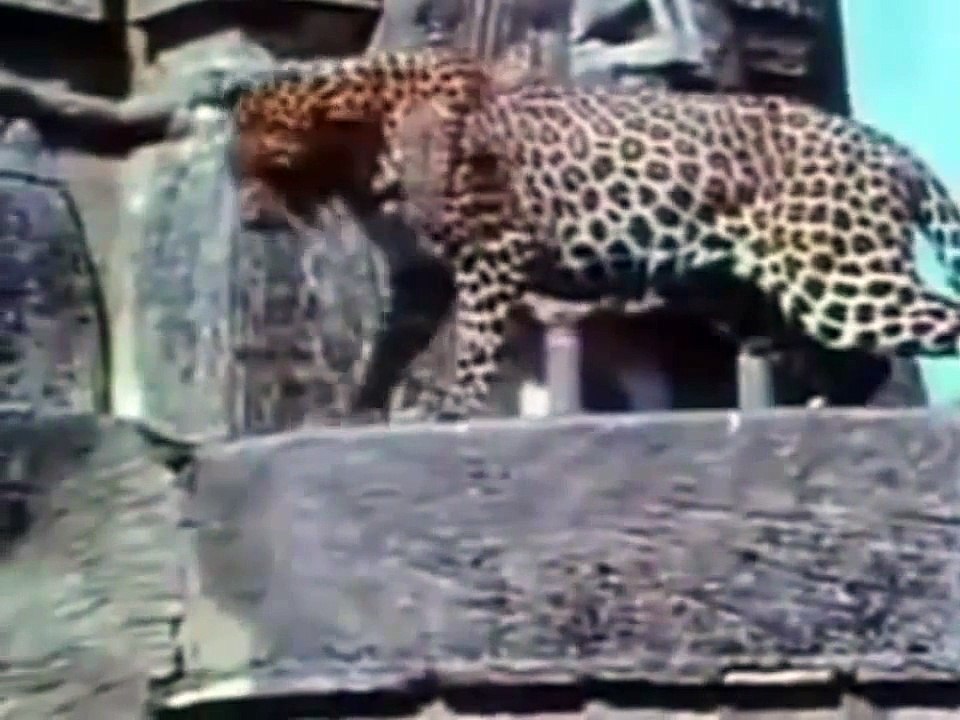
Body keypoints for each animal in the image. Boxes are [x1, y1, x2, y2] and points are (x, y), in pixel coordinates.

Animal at [230, 47, 960, 421]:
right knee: (857, 361)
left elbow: (476, 340)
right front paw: (359, 407)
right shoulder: (421, 275)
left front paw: (456, 402)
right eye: (236, 167)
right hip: (744, 291)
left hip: (838, 277)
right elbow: (389, 346)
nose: (246, 217)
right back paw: (824, 406)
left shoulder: (493, 251)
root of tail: (890, 149)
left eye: (273, 163)